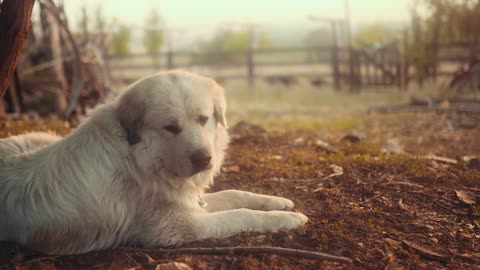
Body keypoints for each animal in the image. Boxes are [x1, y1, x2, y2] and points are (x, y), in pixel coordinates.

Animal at [0, 70, 308, 255]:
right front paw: (287, 219)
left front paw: (278, 202)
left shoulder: (188, 202)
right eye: (171, 128)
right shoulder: (179, 227)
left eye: (203, 119)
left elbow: (235, 194)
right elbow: (241, 215)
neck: (139, 156)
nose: (203, 159)